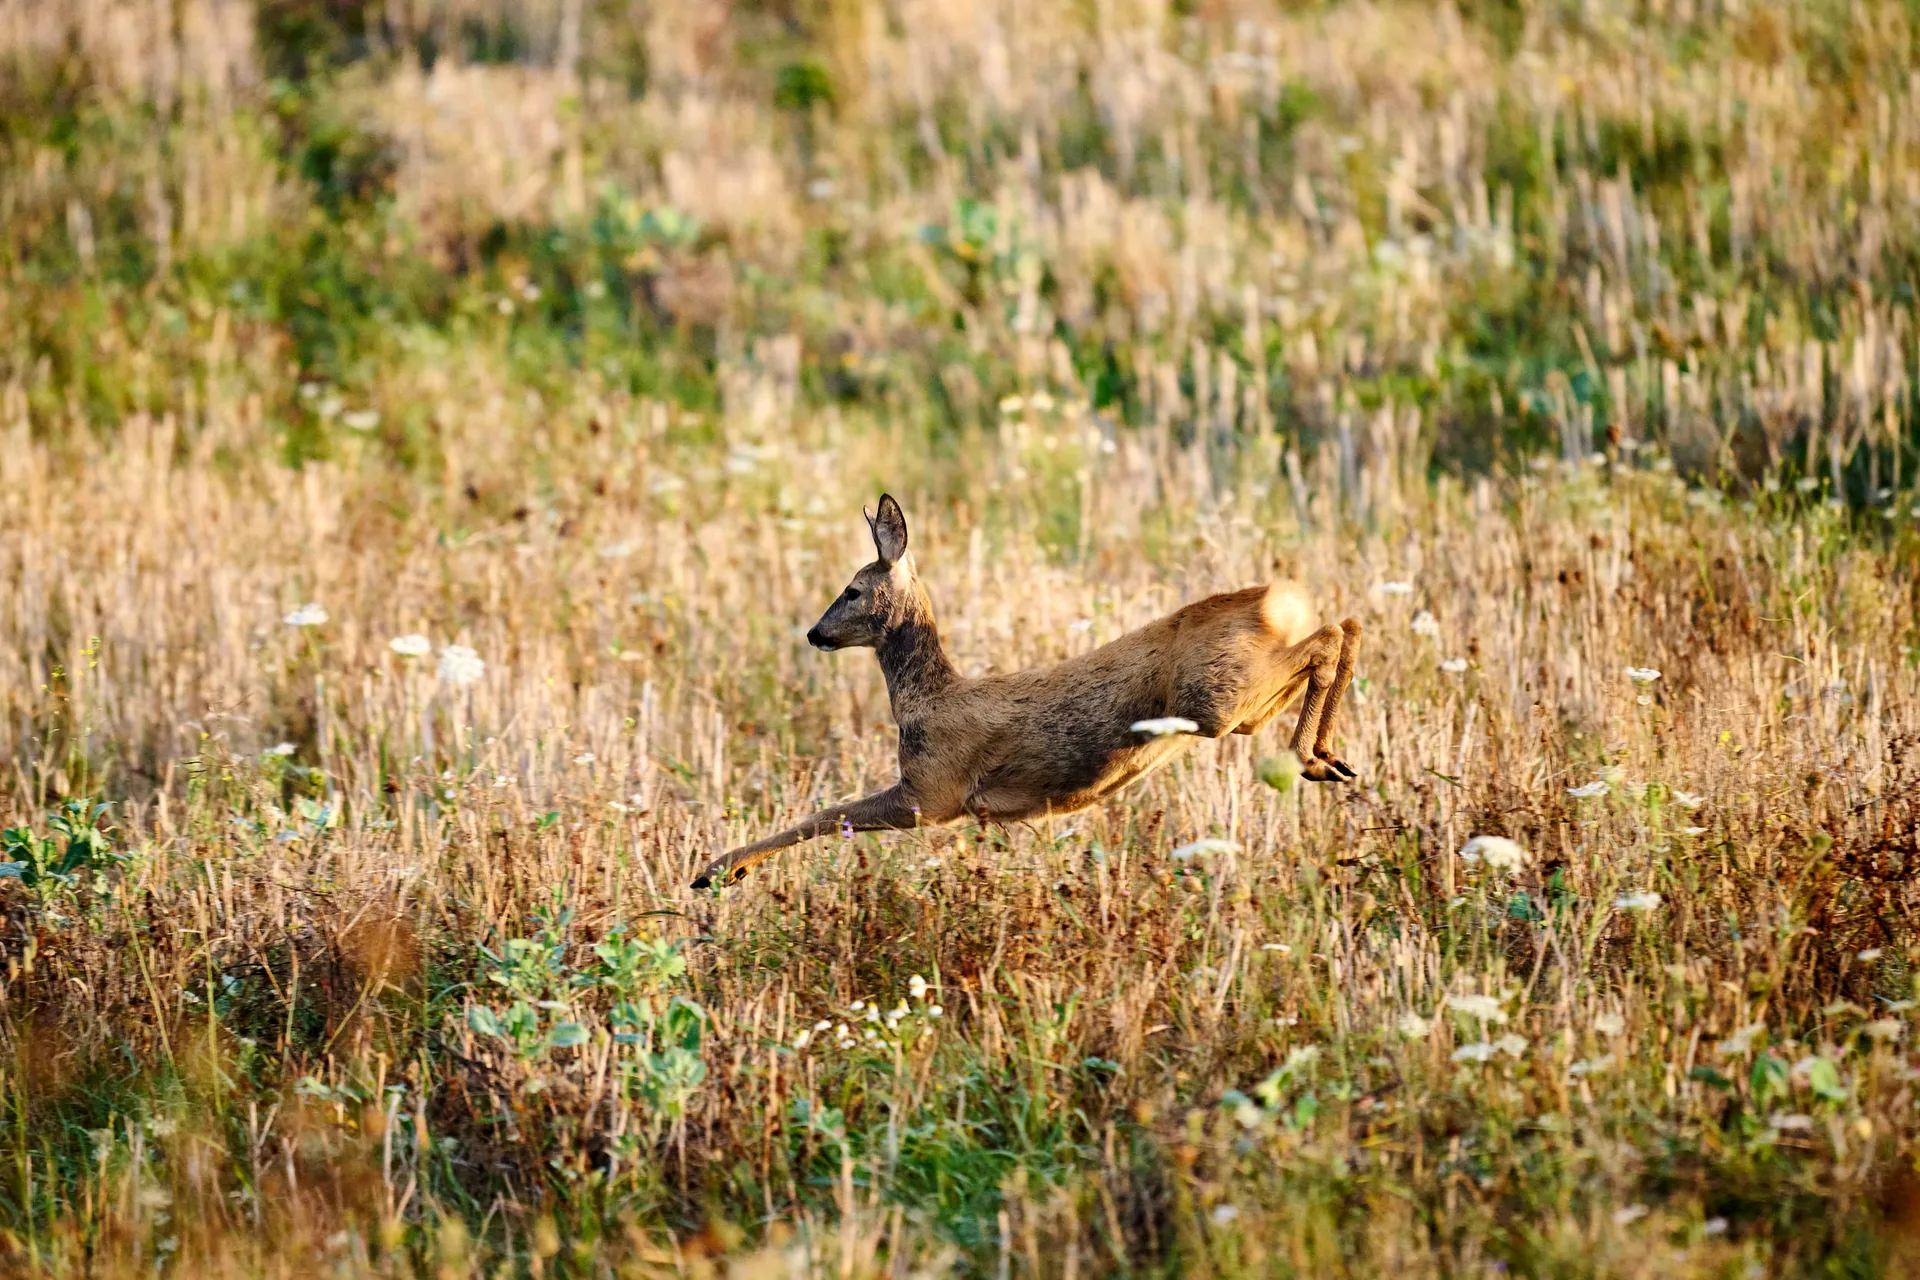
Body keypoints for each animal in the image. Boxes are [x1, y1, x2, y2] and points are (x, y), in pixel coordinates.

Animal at [690, 494, 1362, 889]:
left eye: (853, 589)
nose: (815, 633)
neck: (925, 698)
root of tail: (1276, 600)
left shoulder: (932, 792)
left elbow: (830, 812)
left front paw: (717, 871)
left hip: (1215, 700)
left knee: (1329, 635)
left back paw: (1312, 759)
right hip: (1241, 704)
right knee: (1342, 629)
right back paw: (1331, 758)